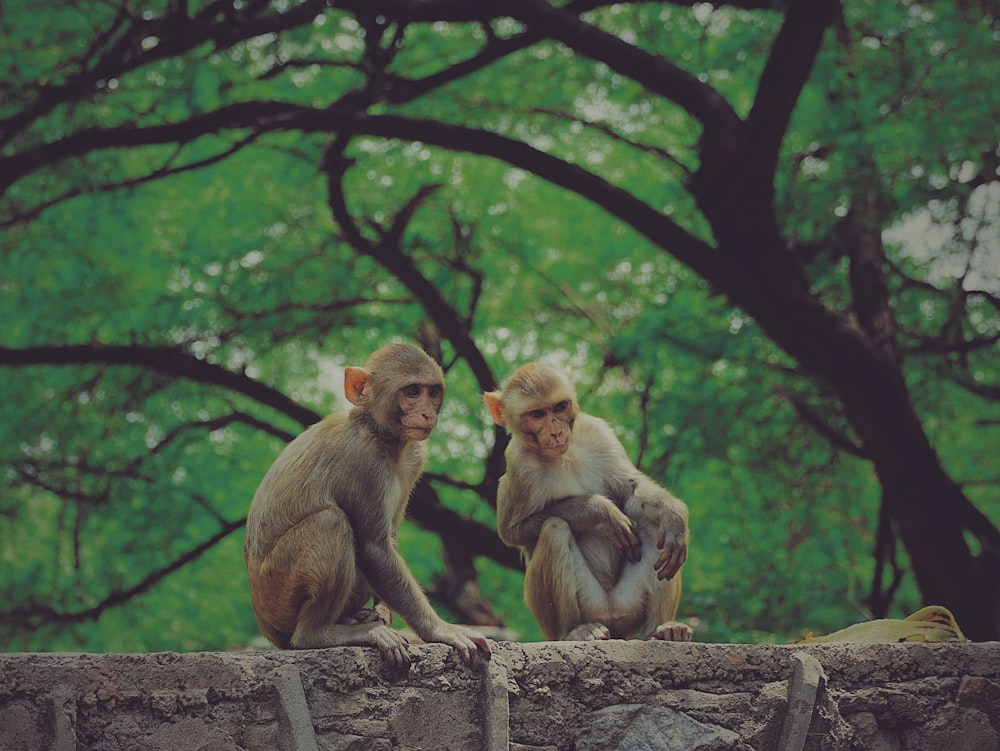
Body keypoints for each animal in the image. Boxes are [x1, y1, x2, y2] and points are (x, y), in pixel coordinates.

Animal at [244, 342, 490, 668]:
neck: (380, 433)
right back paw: (321, 634)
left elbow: (388, 542)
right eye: (412, 391)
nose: (427, 413)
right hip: (278, 597)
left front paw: (383, 613)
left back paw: (352, 618)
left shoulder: (415, 458)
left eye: (433, 391)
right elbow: (375, 548)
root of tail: (266, 626)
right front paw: (442, 630)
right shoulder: (362, 460)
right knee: (332, 522)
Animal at [482, 362, 688, 640]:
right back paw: (575, 632)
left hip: (629, 606)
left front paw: (674, 513)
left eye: (560, 407)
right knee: (554, 528)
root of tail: (612, 618)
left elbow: (630, 489)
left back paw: (662, 629)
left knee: (658, 528)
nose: (556, 432)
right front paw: (598, 511)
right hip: (584, 607)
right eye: (537, 414)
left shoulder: (598, 431)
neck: (563, 455)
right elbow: (513, 532)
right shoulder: (517, 465)